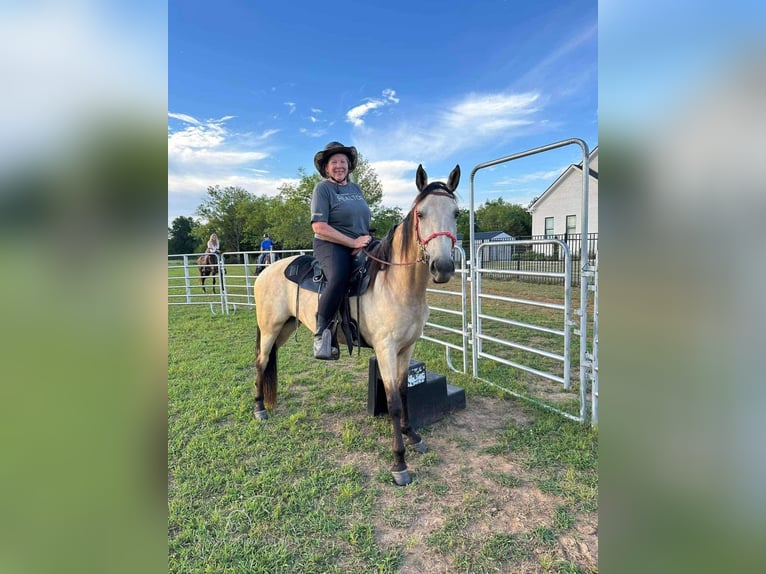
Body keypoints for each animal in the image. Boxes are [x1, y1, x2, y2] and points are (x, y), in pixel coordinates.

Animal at [252, 164, 460, 488]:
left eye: (457, 213)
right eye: (421, 213)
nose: (443, 267)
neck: (396, 284)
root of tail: (265, 271)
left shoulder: (407, 348)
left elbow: (404, 393)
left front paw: (413, 436)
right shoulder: (386, 350)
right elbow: (393, 401)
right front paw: (399, 463)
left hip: (284, 329)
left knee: (268, 359)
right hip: (270, 328)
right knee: (261, 362)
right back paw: (260, 409)